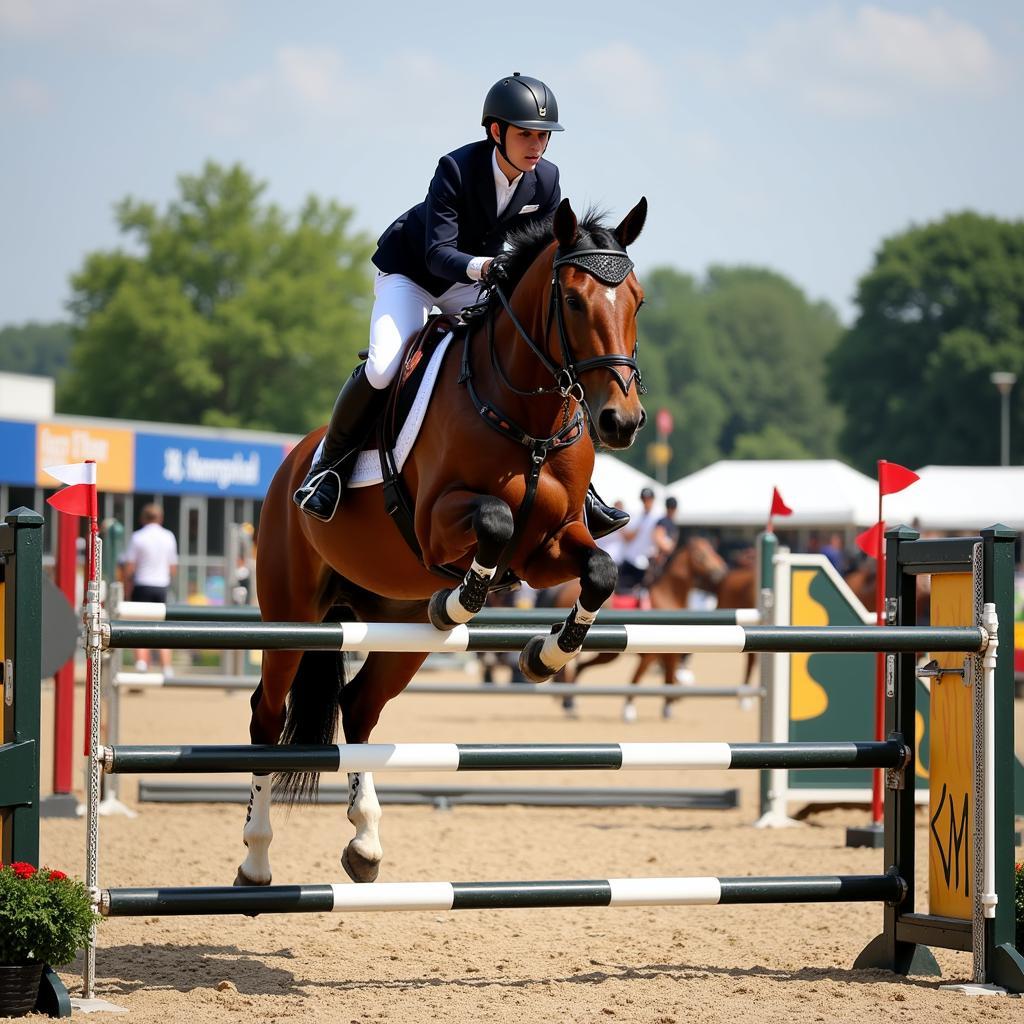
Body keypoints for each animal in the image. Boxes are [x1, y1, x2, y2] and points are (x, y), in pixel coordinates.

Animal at [239, 199, 647, 888]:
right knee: (267, 716)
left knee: (359, 706)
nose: (622, 421)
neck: (529, 419)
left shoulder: (548, 547)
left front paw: (545, 656)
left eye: (637, 300)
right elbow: (495, 521)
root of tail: (290, 462)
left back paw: (366, 843)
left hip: (393, 628)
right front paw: (460, 600)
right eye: (571, 300)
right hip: (290, 614)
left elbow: (599, 570)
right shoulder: (439, 522)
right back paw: (256, 858)